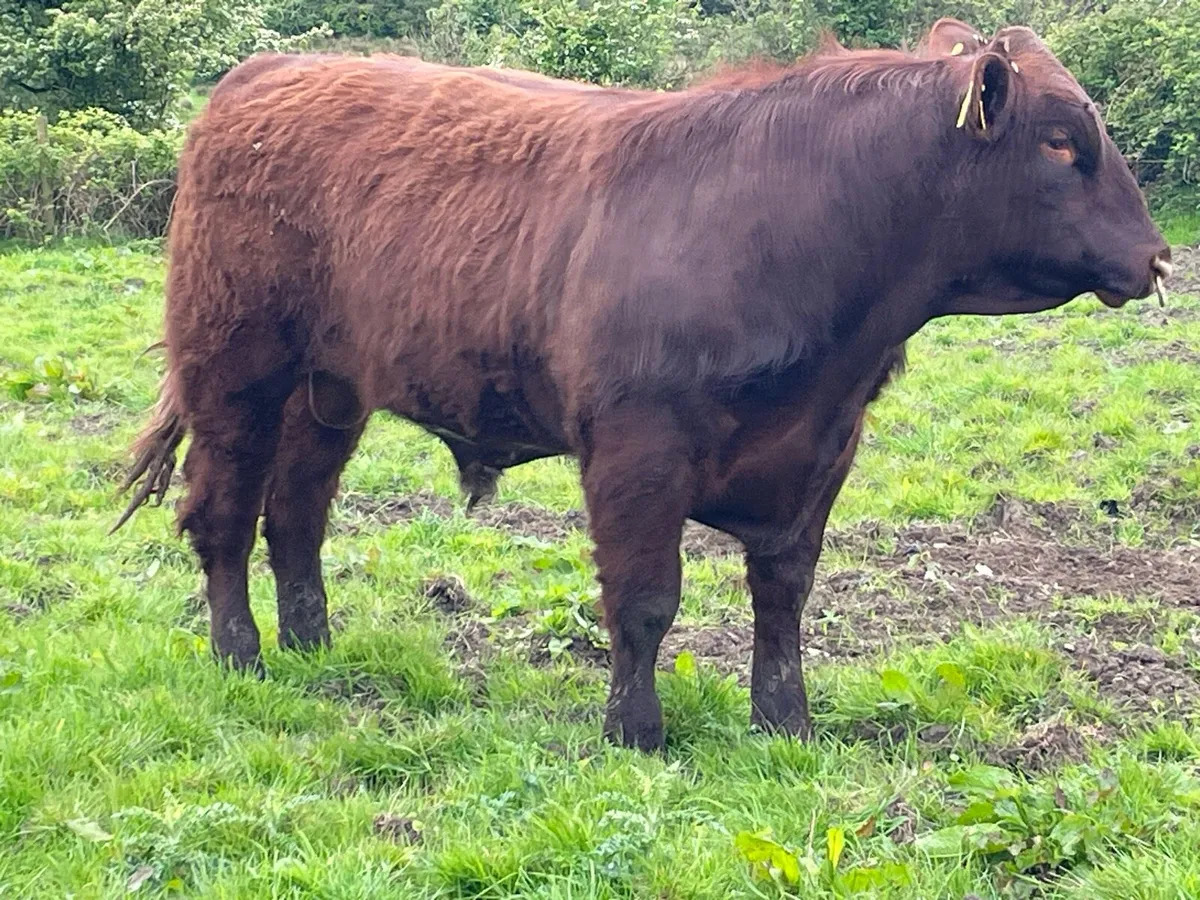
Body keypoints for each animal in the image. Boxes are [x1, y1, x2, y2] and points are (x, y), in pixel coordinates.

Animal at [114, 23, 1171, 751]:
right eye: (1062, 143)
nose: (1159, 257)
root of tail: (267, 72)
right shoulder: (637, 448)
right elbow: (645, 598)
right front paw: (636, 731)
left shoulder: (823, 449)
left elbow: (784, 592)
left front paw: (786, 721)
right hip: (233, 369)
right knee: (220, 515)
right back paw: (243, 656)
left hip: (328, 389)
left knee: (294, 516)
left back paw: (312, 646)